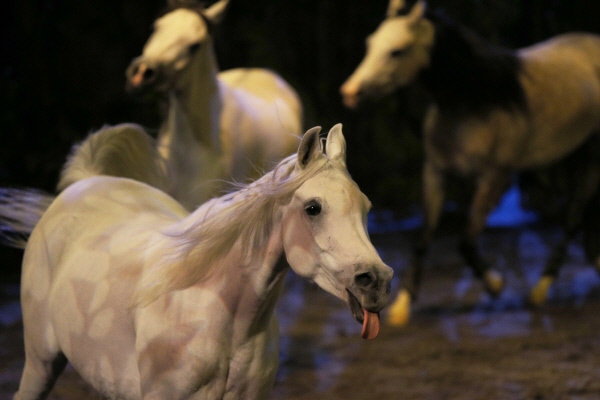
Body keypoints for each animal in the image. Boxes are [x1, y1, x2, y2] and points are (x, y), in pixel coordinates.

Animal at [342, 0, 600, 324]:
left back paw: (539, 291)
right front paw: (402, 307)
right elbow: (423, 236)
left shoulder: (495, 179)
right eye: (371, 43)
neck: (474, 102)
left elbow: (465, 240)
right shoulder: (435, 173)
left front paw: (496, 286)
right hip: (577, 153)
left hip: (590, 155)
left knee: (573, 216)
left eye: (397, 51)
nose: (350, 93)